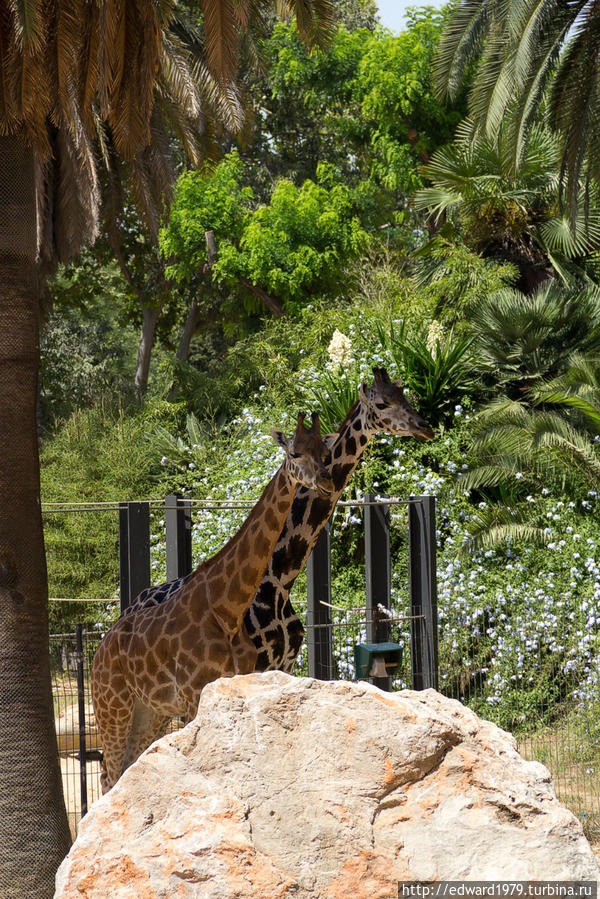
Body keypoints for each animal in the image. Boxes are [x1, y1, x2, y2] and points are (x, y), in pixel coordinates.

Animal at [91, 412, 336, 792]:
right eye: (294, 453)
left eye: (325, 454)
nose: (325, 481)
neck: (227, 608)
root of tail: (98, 651)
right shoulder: (194, 695)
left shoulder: (235, 684)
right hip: (112, 705)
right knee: (109, 775)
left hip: (149, 711)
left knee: (128, 767)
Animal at [127, 368, 436, 676]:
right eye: (382, 403)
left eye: (404, 395)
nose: (425, 427)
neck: (280, 583)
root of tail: (134, 602)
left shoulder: (283, 664)